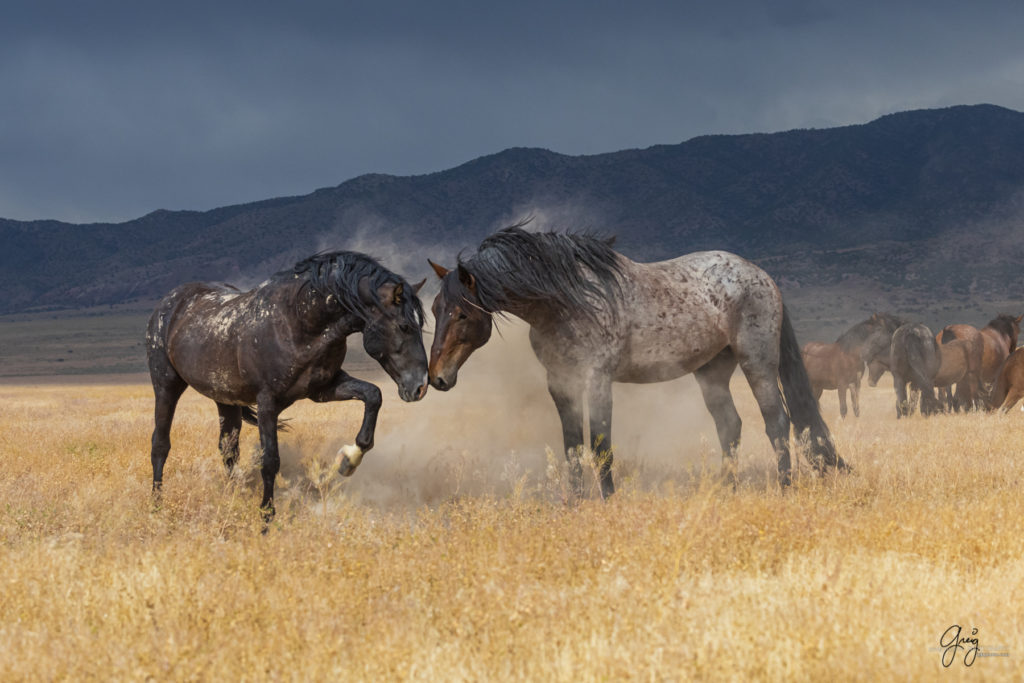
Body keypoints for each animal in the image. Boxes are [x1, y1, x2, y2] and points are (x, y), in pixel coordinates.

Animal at [147, 250, 428, 518]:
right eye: (404, 326)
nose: (420, 386)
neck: (297, 322)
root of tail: (169, 301)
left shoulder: (323, 389)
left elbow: (373, 395)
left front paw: (349, 460)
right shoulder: (267, 402)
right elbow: (270, 460)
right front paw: (266, 517)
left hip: (225, 399)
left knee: (228, 449)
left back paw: (231, 499)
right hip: (166, 385)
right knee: (160, 444)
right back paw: (157, 506)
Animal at [425, 227, 847, 499]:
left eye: (462, 314)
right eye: (434, 308)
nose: (437, 378)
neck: (563, 303)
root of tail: (762, 275)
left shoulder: (596, 380)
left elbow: (600, 444)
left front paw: (608, 499)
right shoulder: (560, 383)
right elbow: (572, 446)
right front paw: (575, 503)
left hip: (756, 363)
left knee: (778, 422)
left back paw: (785, 489)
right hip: (712, 372)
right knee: (731, 426)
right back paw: (726, 490)